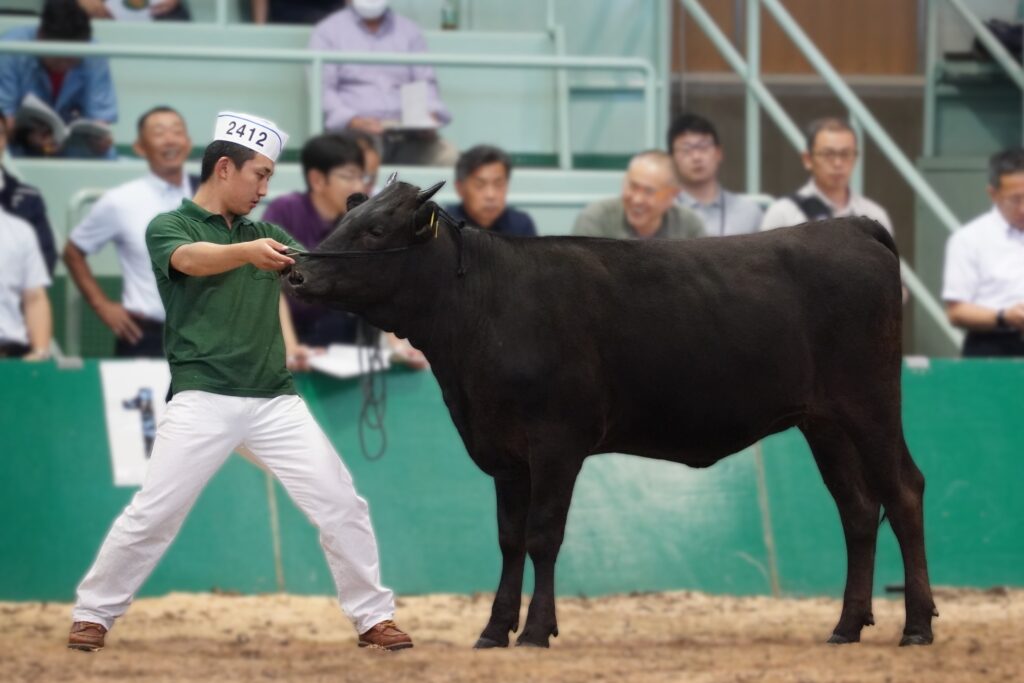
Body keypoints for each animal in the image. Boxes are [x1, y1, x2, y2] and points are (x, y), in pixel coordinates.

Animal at [280, 179, 937, 651]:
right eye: (341, 220)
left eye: (376, 229)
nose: (297, 272)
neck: (480, 311)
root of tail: (850, 226)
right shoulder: (504, 451)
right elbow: (509, 540)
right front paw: (494, 630)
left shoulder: (556, 440)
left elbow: (543, 535)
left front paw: (536, 631)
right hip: (824, 422)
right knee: (858, 510)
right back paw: (846, 626)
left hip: (871, 402)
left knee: (904, 492)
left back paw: (917, 625)